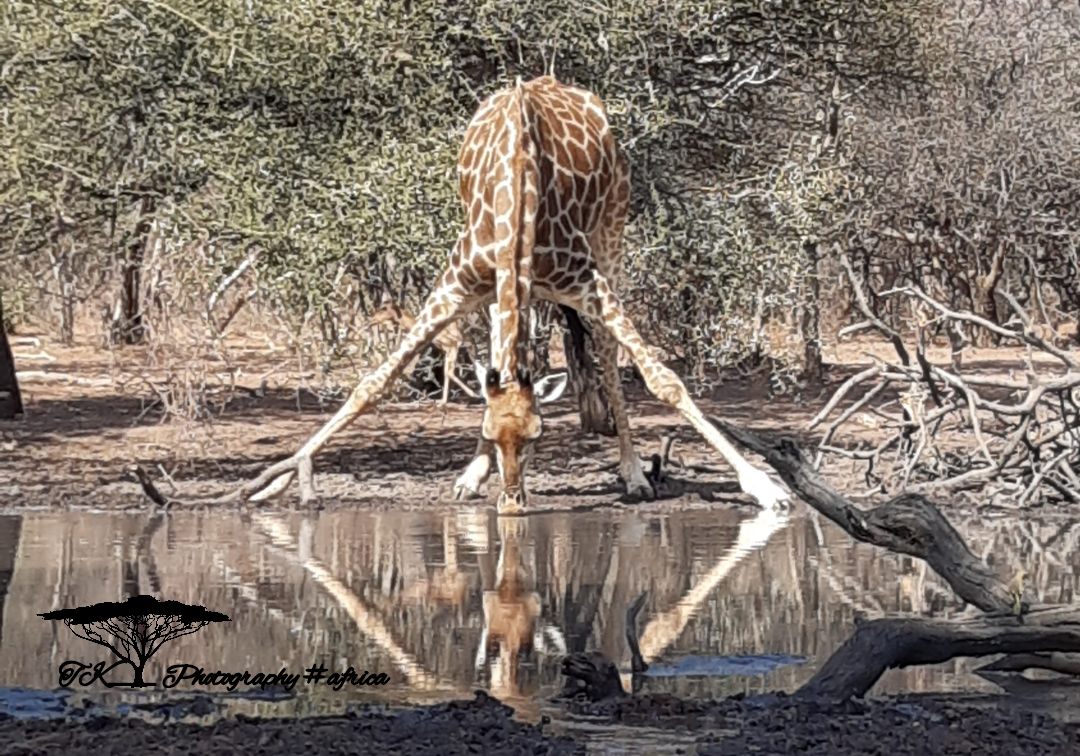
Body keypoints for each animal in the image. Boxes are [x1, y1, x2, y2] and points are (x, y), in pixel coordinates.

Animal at [190, 73, 790, 514]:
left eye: (540, 437)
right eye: (490, 433)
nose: (512, 505)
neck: (518, 192)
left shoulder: (585, 281)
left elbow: (665, 380)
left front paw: (765, 487)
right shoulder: (456, 282)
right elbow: (374, 383)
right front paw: (273, 482)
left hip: (611, 233)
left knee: (605, 349)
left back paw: (633, 475)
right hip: (497, 289)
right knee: (496, 355)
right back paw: (471, 476)